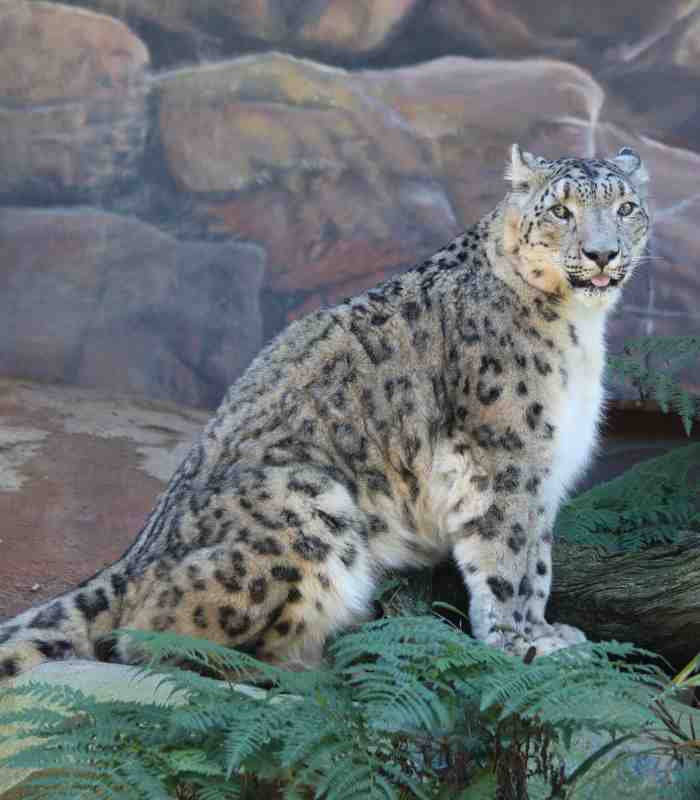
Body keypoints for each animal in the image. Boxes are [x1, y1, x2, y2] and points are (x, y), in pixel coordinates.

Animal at [0, 144, 651, 683]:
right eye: (561, 211)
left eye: (626, 207)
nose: (602, 253)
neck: (580, 329)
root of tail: (133, 556)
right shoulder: (505, 456)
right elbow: (508, 559)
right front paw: (522, 645)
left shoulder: (545, 464)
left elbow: (537, 561)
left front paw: (546, 630)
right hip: (310, 503)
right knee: (151, 639)